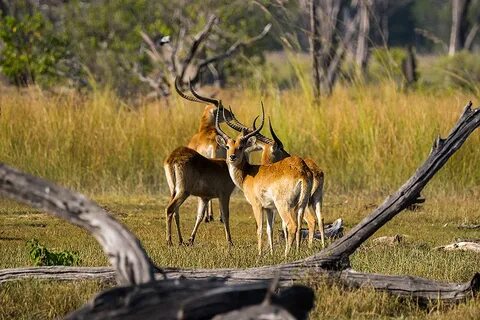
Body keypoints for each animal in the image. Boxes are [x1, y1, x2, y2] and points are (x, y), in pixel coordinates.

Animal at [173, 78, 235, 222]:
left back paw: (209, 216)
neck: (206, 129)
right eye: (221, 108)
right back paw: (219, 217)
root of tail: (214, 144)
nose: (231, 114)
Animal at [215, 104, 314, 256]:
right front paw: (271, 253)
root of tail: (302, 171)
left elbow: (259, 229)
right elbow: (269, 230)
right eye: (227, 146)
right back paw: (296, 252)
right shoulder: (268, 208)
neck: (249, 174)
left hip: (284, 205)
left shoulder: (257, 205)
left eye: (241, 147)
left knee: (292, 225)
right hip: (302, 205)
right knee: (300, 225)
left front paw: (259, 254)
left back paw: (285, 255)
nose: (232, 157)